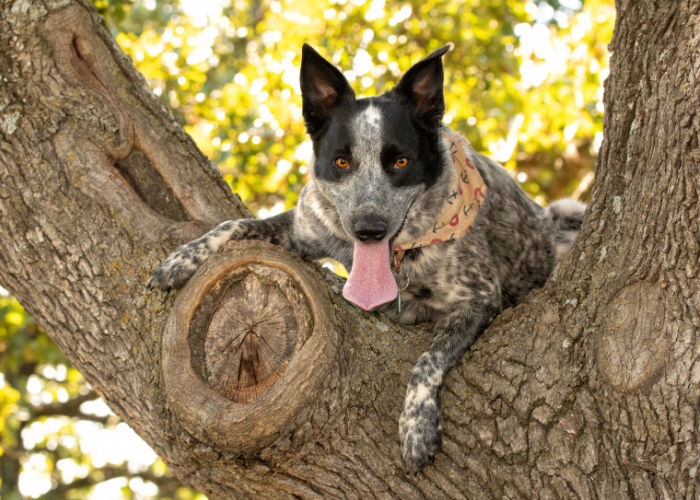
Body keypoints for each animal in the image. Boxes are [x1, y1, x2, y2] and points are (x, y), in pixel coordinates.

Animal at [148, 43, 584, 472]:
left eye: (401, 161)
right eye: (342, 161)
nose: (369, 229)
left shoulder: (478, 299)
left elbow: (427, 361)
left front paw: (415, 428)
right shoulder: (304, 228)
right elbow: (233, 224)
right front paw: (180, 261)